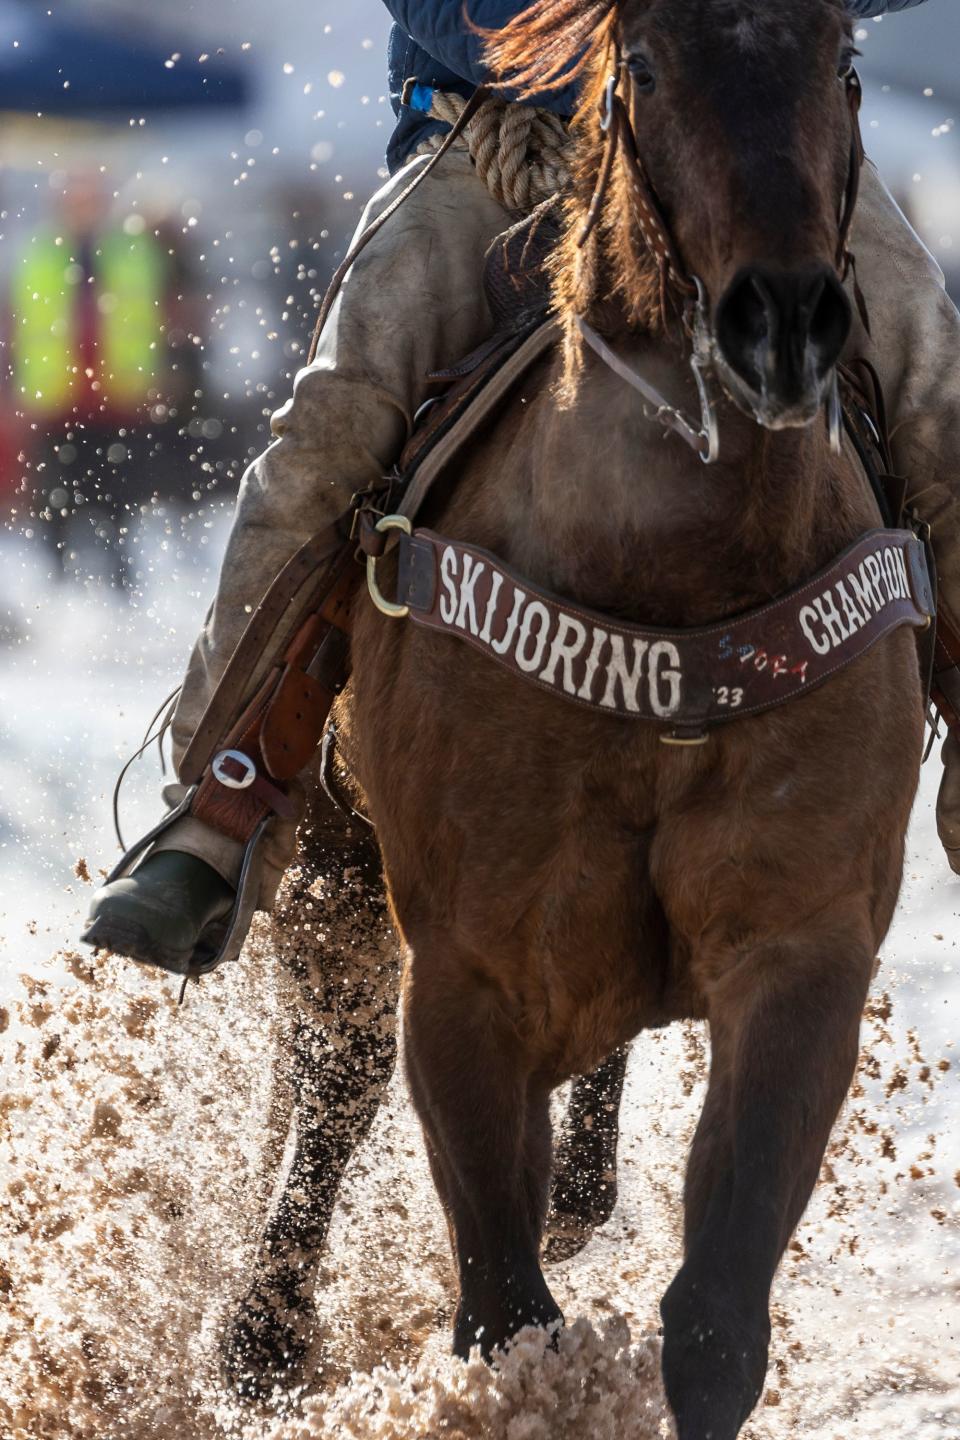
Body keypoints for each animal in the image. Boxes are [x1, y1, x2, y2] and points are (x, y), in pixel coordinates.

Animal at [339, 2, 932, 1440]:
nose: (786, 321)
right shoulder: (463, 982)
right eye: (649, 68)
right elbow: (505, 1321)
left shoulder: (803, 953)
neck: (674, 612)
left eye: (844, 61)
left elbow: (713, 1320)